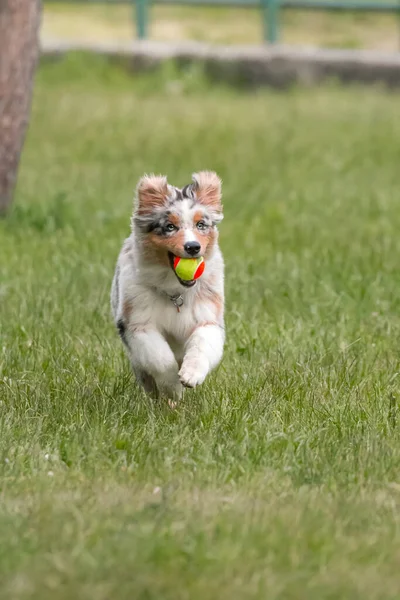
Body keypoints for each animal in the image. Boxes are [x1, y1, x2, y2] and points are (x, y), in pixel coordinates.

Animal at [111, 171, 225, 400]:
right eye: (170, 227)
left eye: (201, 225)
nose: (193, 247)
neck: (176, 291)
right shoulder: (137, 324)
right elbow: (160, 358)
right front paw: (173, 388)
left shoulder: (209, 317)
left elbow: (202, 343)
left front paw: (190, 375)